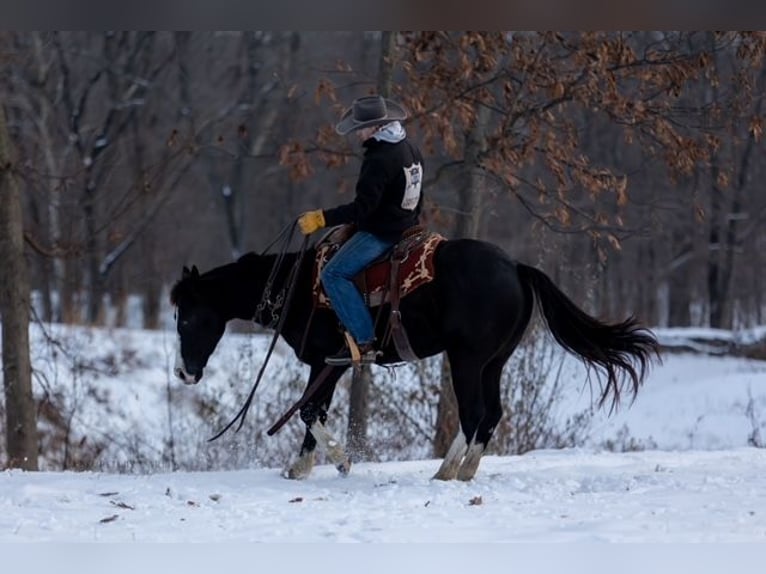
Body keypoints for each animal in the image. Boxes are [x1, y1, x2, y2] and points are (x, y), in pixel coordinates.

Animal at [170, 234, 659, 481]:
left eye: (188, 318)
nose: (183, 373)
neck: (299, 285)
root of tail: (516, 268)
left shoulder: (325, 362)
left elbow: (309, 410)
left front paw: (340, 460)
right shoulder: (326, 367)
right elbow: (314, 411)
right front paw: (301, 466)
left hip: (467, 360)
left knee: (474, 413)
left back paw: (447, 472)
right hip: (493, 363)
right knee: (491, 414)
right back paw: (462, 471)